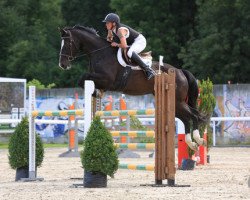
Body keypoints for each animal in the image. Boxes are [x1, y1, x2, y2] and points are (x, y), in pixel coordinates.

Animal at [58, 25, 207, 150]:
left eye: (67, 44)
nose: (62, 65)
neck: (100, 54)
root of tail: (180, 71)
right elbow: (85, 80)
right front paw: (97, 92)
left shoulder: (107, 79)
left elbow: (83, 78)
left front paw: (96, 92)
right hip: (174, 103)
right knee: (186, 118)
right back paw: (191, 143)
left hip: (178, 101)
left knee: (194, 115)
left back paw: (198, 140)